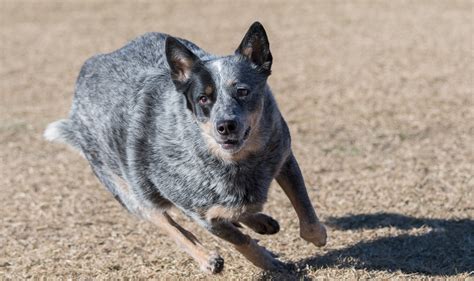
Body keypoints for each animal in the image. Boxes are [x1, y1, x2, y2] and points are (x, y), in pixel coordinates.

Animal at [44, 22, 326, 274]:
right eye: (203, 98)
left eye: (243, 91)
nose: (225, 125)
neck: (236, 162)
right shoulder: (199, 213)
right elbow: (241, 242)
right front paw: (270, 263)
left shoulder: (283, 156)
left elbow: (304, 207)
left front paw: (317, 236)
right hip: (130, 191)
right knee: (169, 224)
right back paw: (208, 259)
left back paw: (260, 221)